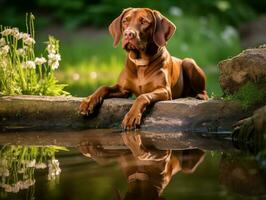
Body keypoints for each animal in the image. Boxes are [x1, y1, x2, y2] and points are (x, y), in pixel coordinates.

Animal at [79, 7, 208, 130]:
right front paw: (88, 101)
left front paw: (131, 116)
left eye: (144, 22)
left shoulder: (165, 91)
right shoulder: (123, 89)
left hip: (188, 62)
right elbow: (103, 87)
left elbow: (143, 96)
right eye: (125, 21)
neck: (140, 63)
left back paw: (200, 96)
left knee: (203, 90)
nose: (128, 34)